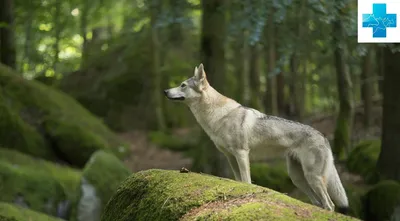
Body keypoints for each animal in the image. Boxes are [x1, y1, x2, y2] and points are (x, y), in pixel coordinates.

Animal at [164, 63, 348, 212]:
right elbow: (238, 181)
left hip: (312, 177)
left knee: (330, 205)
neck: (217, 116)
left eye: (182, 85)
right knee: (319, 203)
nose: (165, 91)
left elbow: (246, 181)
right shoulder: (230, 157)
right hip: (298, 179)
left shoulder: (241, 153)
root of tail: (324, 137)